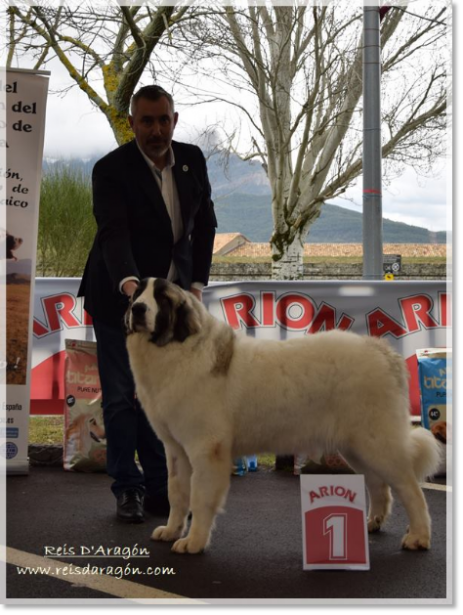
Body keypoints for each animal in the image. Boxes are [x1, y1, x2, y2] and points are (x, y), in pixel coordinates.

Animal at [125, 280, 440, 560]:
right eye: (137, 293)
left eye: (162, 298)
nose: (137, 309)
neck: (177, 349)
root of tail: (382, 351)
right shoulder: (176, 450)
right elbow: (177, 493)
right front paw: (172, 530)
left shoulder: (206, 450)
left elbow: (200, 499)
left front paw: (194, 542)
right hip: (357, 447)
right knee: (379, 485)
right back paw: (372, 523)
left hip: (377, 442)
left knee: (410, 489)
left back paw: (419, 537)